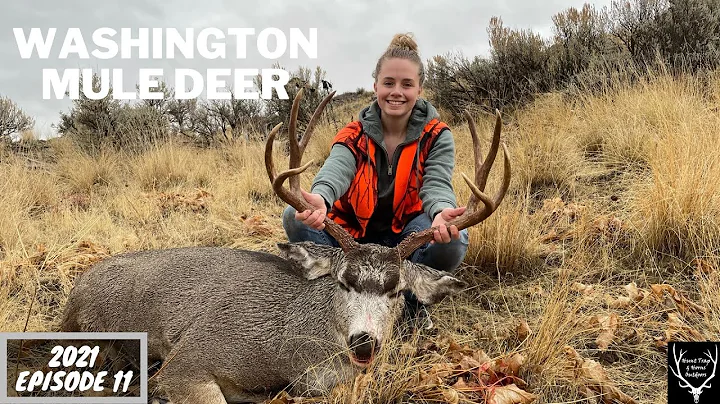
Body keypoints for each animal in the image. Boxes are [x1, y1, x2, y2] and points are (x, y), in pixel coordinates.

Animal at [60, 89, 511, 404]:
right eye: (342, 281)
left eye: (398, 290)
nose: (364, 342)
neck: (294, 352)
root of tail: (76, 290)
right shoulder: (190, 358)